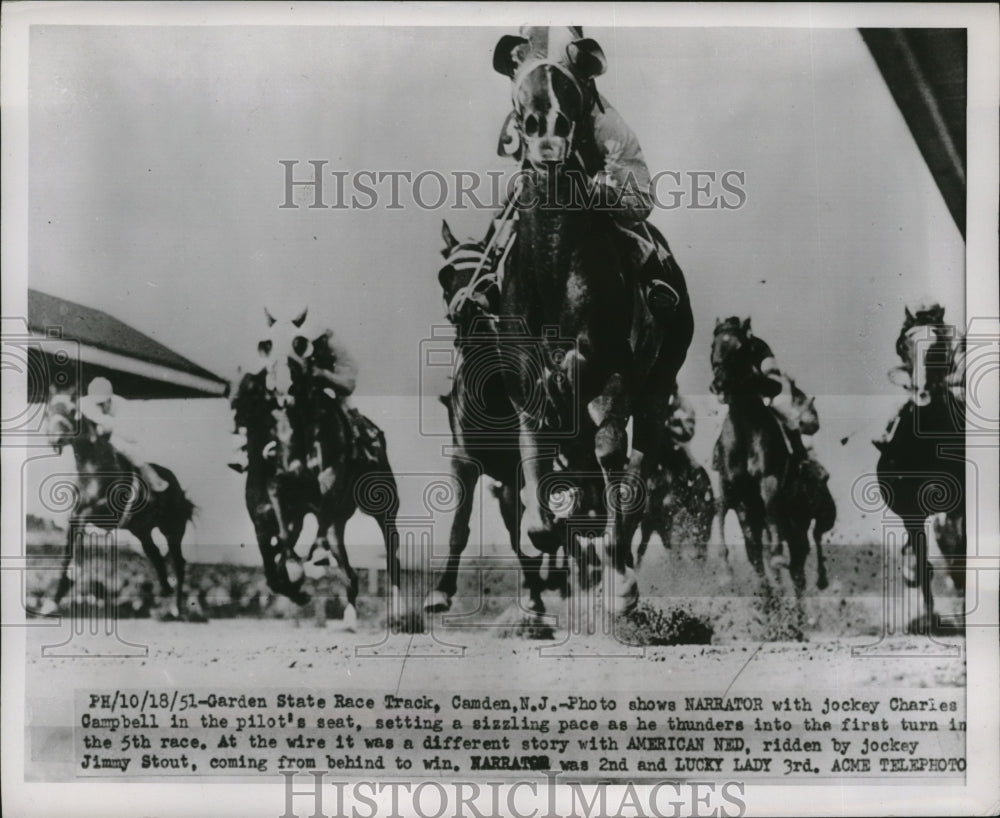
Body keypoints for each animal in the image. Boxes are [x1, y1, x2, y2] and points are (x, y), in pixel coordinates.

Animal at [43, 388, 199, 620]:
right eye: (48, 410)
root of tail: (177, 487)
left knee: (178, 563)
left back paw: (176, 607)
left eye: (72, 411)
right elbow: (67, 555)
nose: (56, 439)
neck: (93, 468)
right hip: (141, 529)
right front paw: (53, 601)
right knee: (155, 556)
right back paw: (165, 593)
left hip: (173, 529)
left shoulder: (97, 513)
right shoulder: (74, 516)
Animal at [231, 310, 402, 620]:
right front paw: (294, 578)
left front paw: (306, 566)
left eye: (299, 343)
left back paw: (400, 610)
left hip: (383, 503)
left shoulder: (330, 474)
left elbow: (322, 504)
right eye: (266, 344)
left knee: (391, 546)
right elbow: (281, 544)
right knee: (349, 571)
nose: (282, 387)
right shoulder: (276, 498)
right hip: (339, 522)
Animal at [494, 35, 696, 616]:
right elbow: (535, 454)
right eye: (518, 74)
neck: (555, 262)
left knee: (636, 467)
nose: (544, 128)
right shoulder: (525, 378)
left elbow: (613, 462)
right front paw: (550, 522)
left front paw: (621, 582)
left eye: (569, 81)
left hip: (657, 388)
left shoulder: (613, 374)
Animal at [872, 310, 964, 628]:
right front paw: (928, 615)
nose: (922, 393)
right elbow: (922, 559)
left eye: (938, 346)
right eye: (903, 346)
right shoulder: (910, 511)